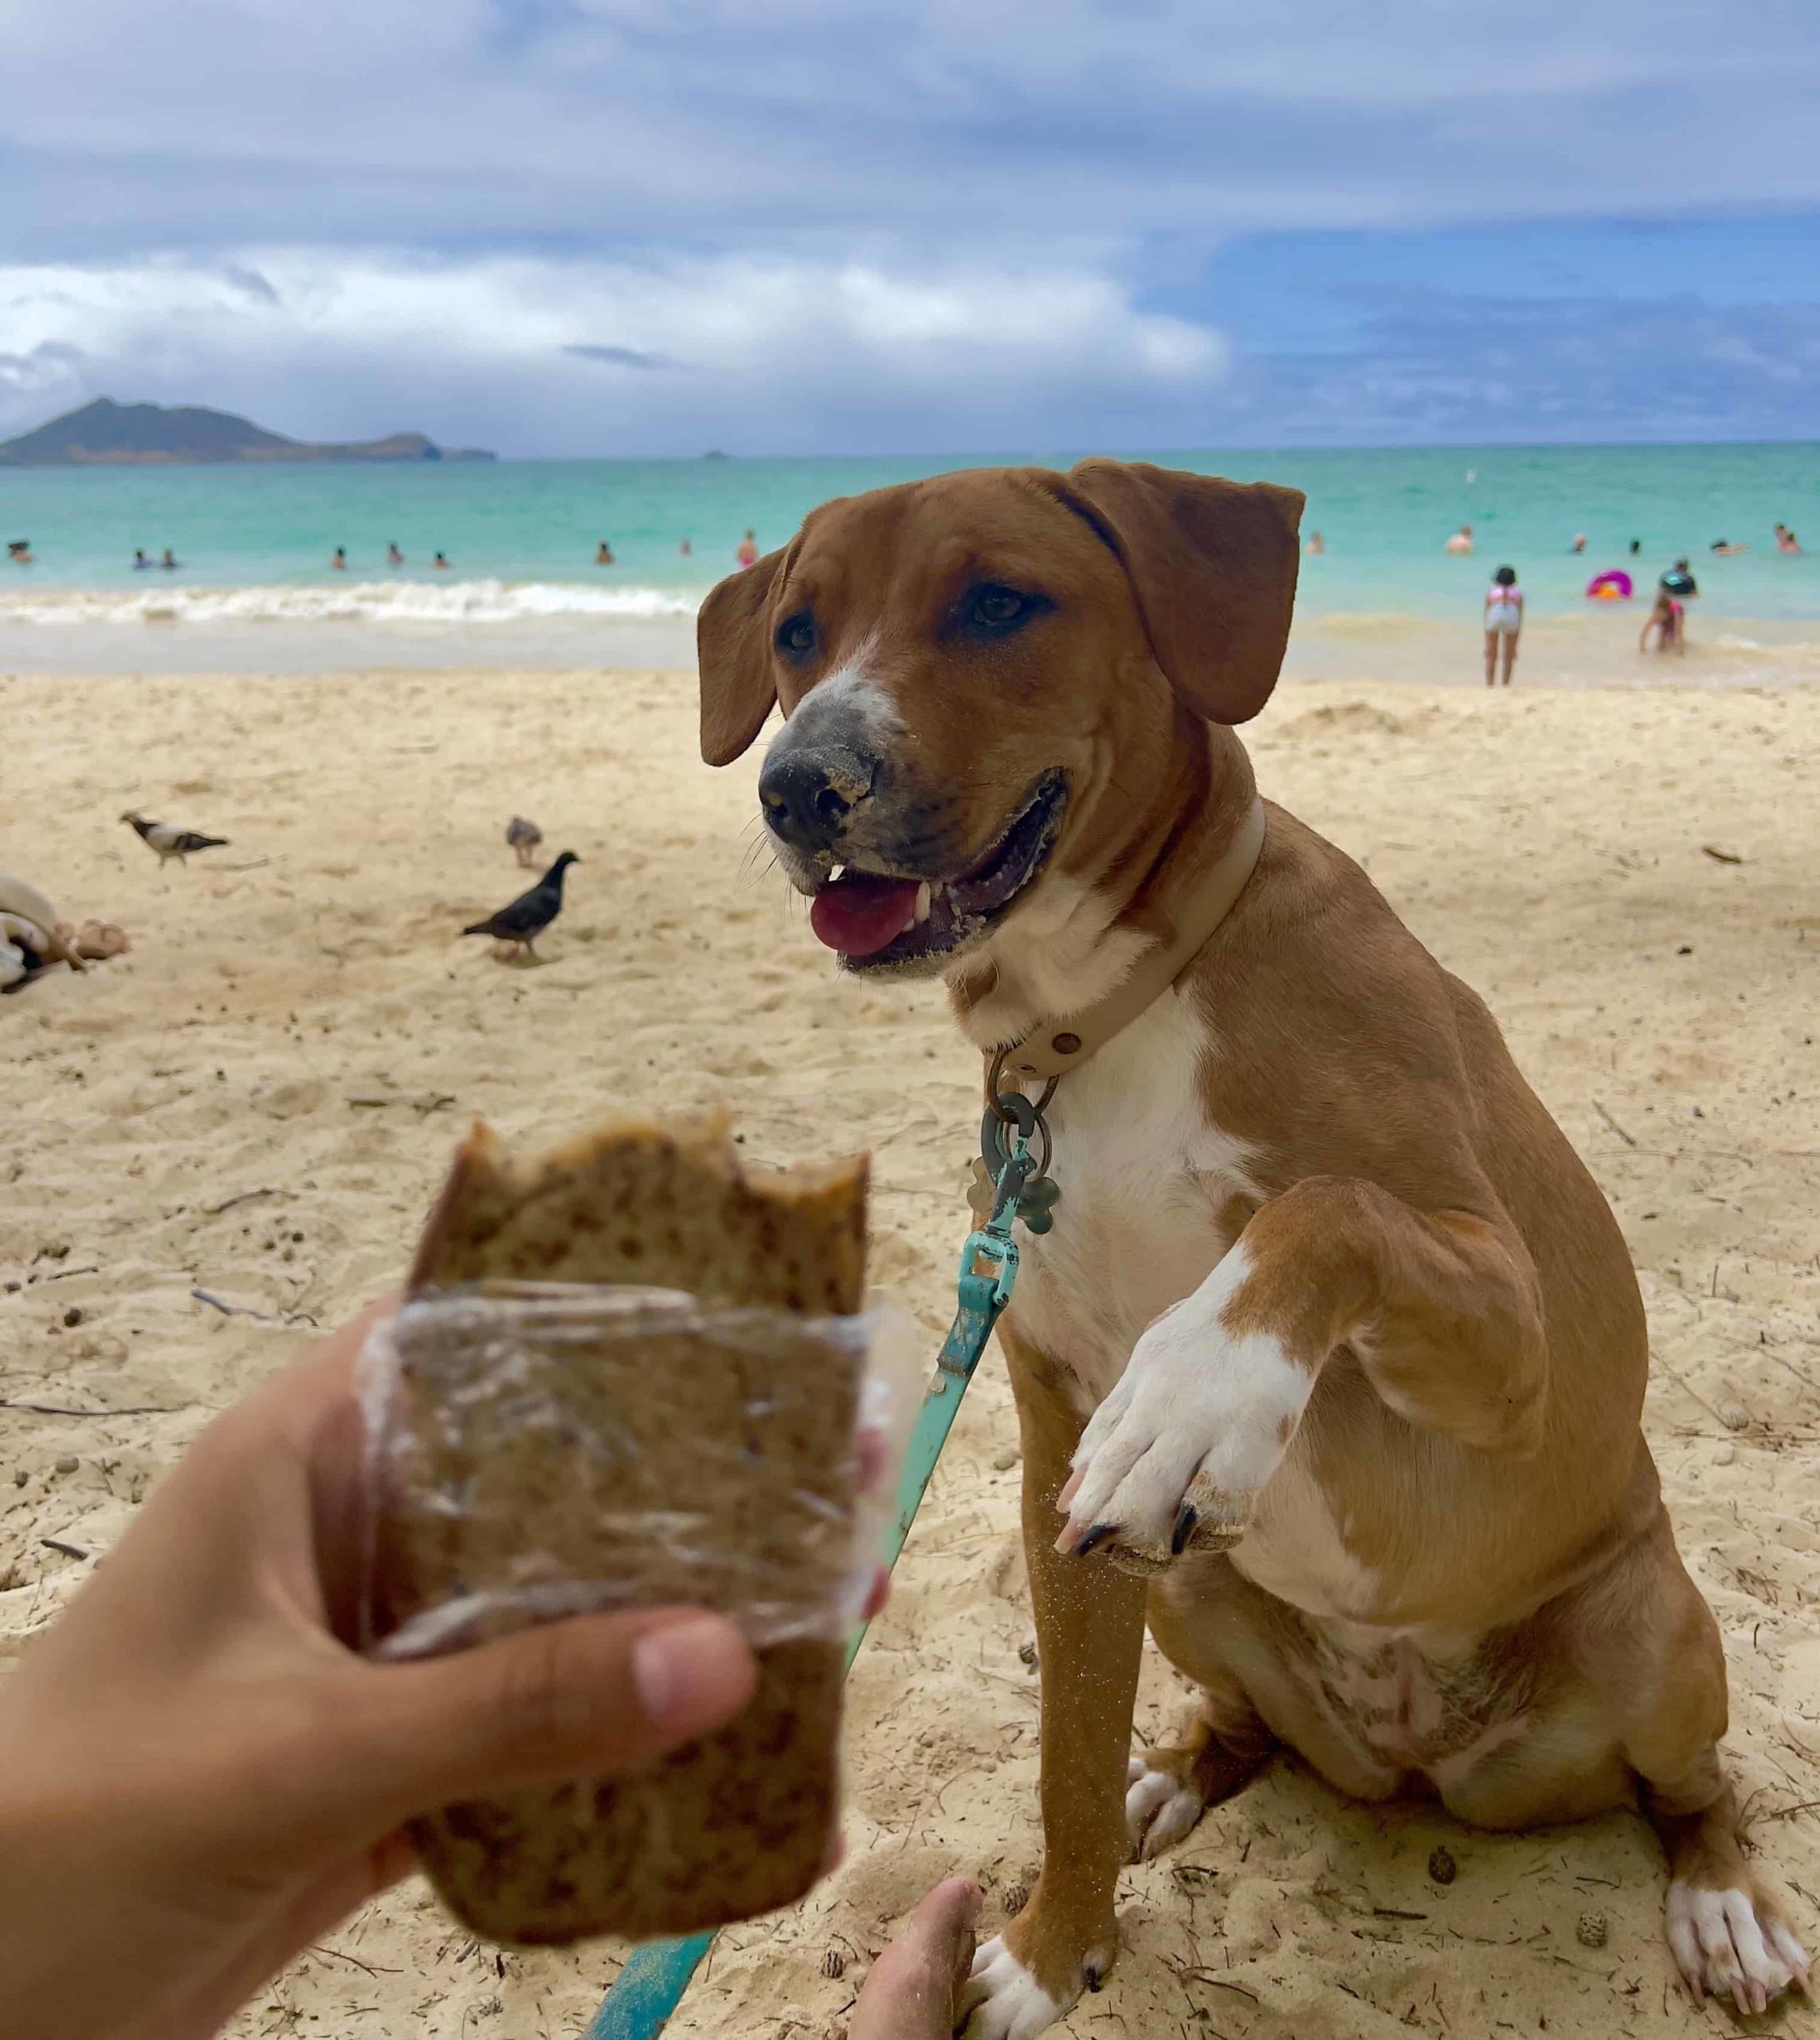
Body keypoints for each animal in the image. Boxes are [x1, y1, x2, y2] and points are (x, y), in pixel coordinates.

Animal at [693, 467, 1803, 2040]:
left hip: (1653, 1631)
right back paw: (1176, 1775)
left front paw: (1197, 1390)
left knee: (1695, 1790)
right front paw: (1049, 1953)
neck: (1102, 1020)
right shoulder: (1056, 1460)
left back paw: (1721, 1907)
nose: (798, 784)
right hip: (1187, 1587)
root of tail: (1417, 1756)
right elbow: (1067, 1751)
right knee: (1233, 1726)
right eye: (796, 631)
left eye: (996, 602)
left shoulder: (1505, 1321)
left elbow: (1328, 1208)